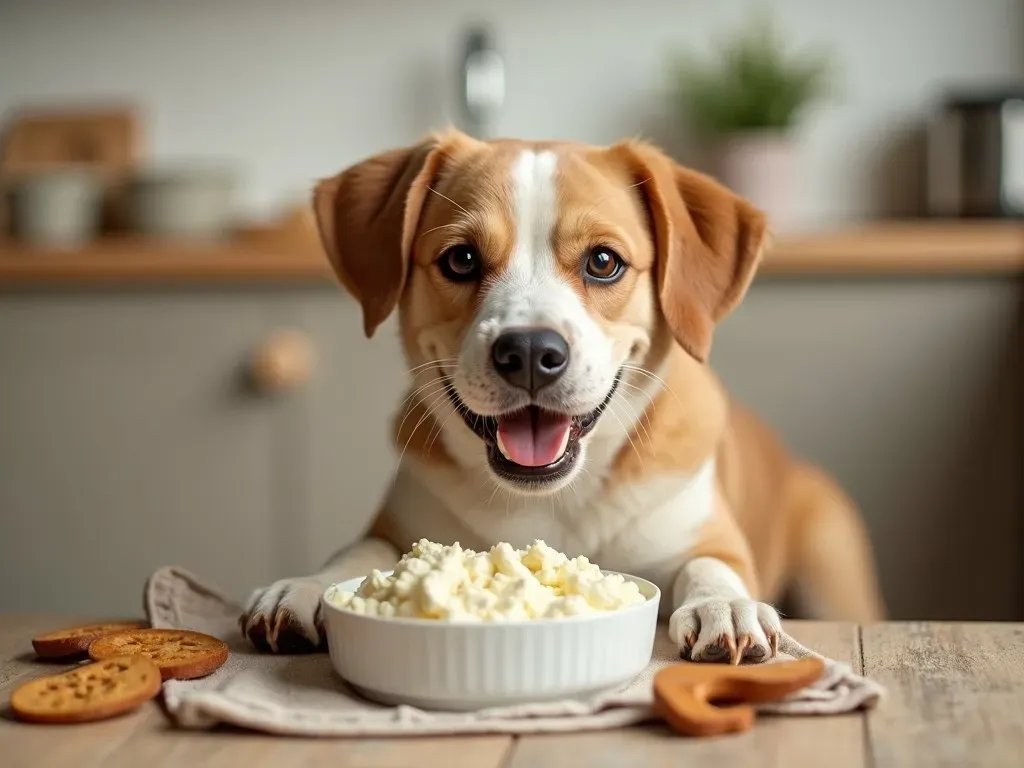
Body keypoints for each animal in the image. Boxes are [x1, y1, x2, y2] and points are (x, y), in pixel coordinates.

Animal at [235, 128, 884, 663]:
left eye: (603, 261)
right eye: (460, 258)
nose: (528, 352)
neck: (559, 501)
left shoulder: (708, 534)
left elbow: (710, 565)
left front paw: (722, 604)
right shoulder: (399, 522)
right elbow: (358, 553)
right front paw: (304, 586)